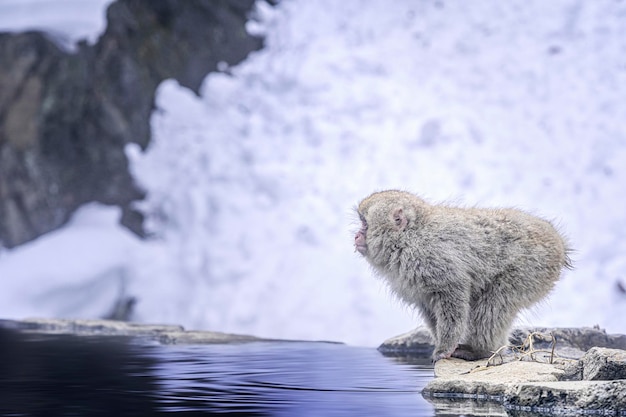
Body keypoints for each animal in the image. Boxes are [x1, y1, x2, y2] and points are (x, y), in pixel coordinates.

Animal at [354, 190, 568, 360]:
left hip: (532, 269)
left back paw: (481, 350)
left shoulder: (431, 259)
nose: (356, 236)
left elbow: (452, 294)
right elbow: (428, 306)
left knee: (493, 304)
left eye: (364, 224)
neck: (408, 238)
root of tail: (559, 243)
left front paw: (445, 347)